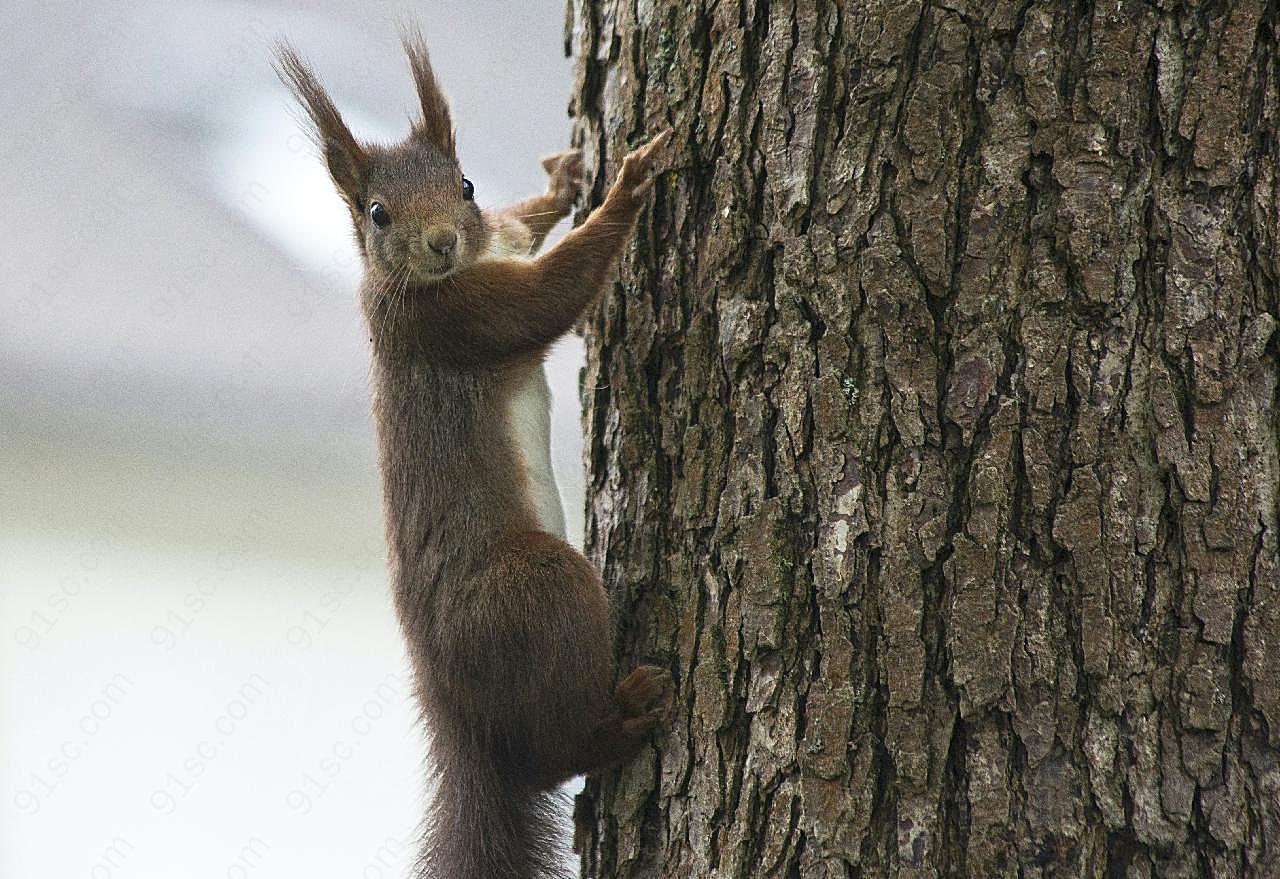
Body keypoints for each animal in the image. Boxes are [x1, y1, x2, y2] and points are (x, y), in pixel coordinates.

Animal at [275, 31, 675, 879]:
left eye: (463, 184)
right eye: (376, 212)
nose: (441, 242)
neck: (460, 268)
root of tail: (451, 708)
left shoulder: (499, 243)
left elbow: (526, 225)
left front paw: (564, 179)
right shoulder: (459, 320)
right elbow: (554, 294)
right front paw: (628, 184)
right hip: (532, 588)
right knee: (551, 756)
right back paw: (623, 718)